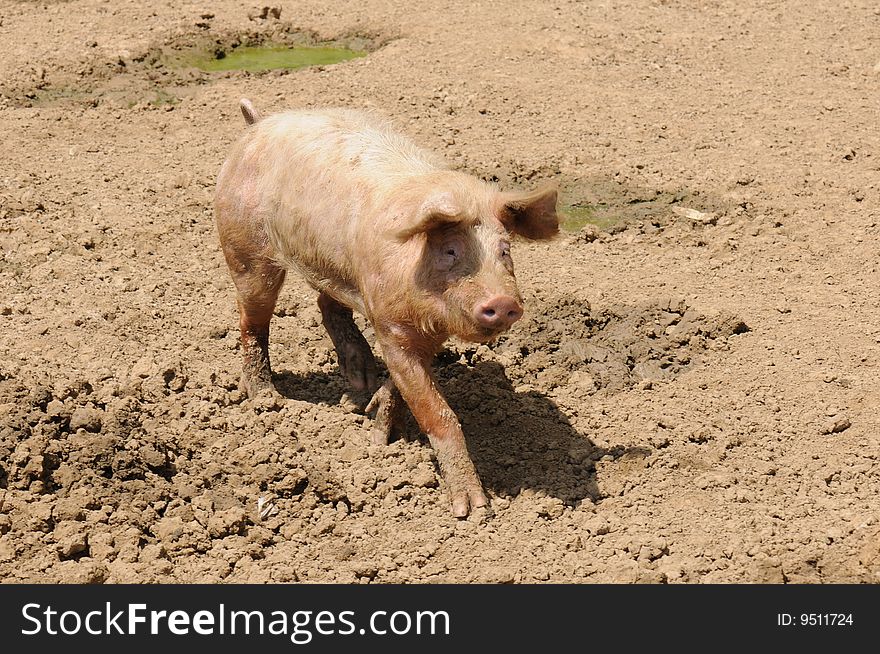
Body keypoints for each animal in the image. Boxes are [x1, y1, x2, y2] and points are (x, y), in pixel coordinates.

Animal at [214, 98, 556, 516]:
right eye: (450, 251)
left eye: (505, 250)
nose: (503, 302)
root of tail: (257, 123)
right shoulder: (392, 326)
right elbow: (438, 413)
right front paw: (473, 510)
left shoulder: (423, 333)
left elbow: (403, 385)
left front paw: (377, 428)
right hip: (245, 249)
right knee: (252, 321)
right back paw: (265, 398)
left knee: (325, 301)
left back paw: (358, 381)